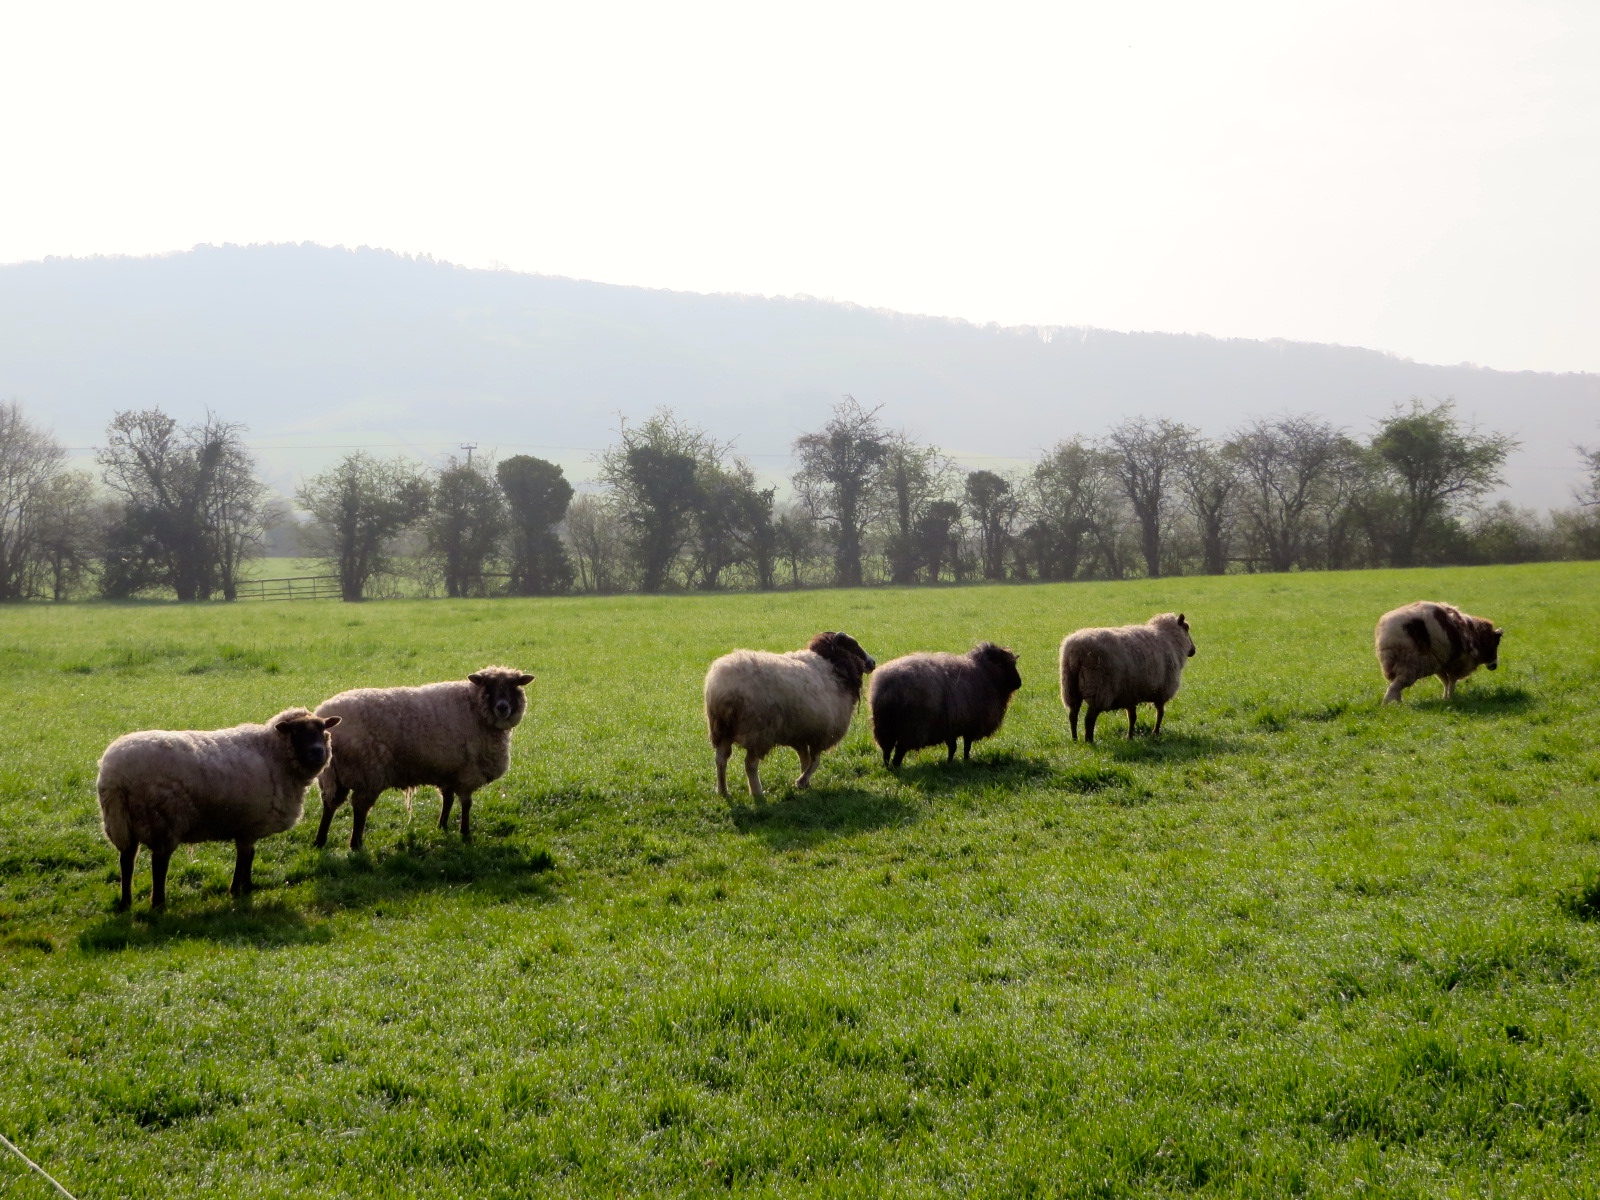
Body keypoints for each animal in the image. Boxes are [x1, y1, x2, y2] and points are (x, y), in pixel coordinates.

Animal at [95, 704, 339, 908]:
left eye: (323, 730)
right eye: (297, 732)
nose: (318, 751)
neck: (273, 754)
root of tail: (113, 773)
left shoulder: (248, 825)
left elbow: (250, 855)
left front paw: (248, 887)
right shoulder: (249, 825)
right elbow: (243, 858)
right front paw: (236, 890)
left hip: (121, 820)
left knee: (127, 860)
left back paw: (125, 902)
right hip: (162, 819)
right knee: (158, 863)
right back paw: (158, 904)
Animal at [312, 668, 537, 857]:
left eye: (514, 685)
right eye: (488, 686)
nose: (502, 708)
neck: (474, 707)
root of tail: (326, 721)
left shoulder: (449, 770)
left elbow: (448, 799)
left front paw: (443, 826)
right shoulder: (467, 772)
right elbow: (466, 804)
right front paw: (465, 834)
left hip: (334, 774)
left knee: (330, 805)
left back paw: (320, 841)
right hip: (368, 771)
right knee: (359, 808)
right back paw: (356, 844)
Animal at [700, 630, 876, 800]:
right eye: (853, 645)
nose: (873, 662)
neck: (832, 666)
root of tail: (721, 687)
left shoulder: (800, 734)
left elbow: (805, 759)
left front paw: (806, 784)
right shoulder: (821, 734)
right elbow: (815, 762)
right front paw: (801, 781)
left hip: (721, 729)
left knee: (721, 759)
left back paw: (723, 791)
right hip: (758, 731)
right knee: (750, 764)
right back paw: (757, 793)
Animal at [870, 640, 1017, 771]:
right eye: (1007, 664)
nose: (1019, 682)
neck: (985, 672)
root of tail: (887, 686)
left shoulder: (950, 727)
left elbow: (953, 747)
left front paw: (950, 762)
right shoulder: (970, 725)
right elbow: (966, 746)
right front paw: (966, 760)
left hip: (885, 727)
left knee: (887, 750)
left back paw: (887, 767)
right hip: (909, 727)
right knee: (900, 750)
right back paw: (896, 767)